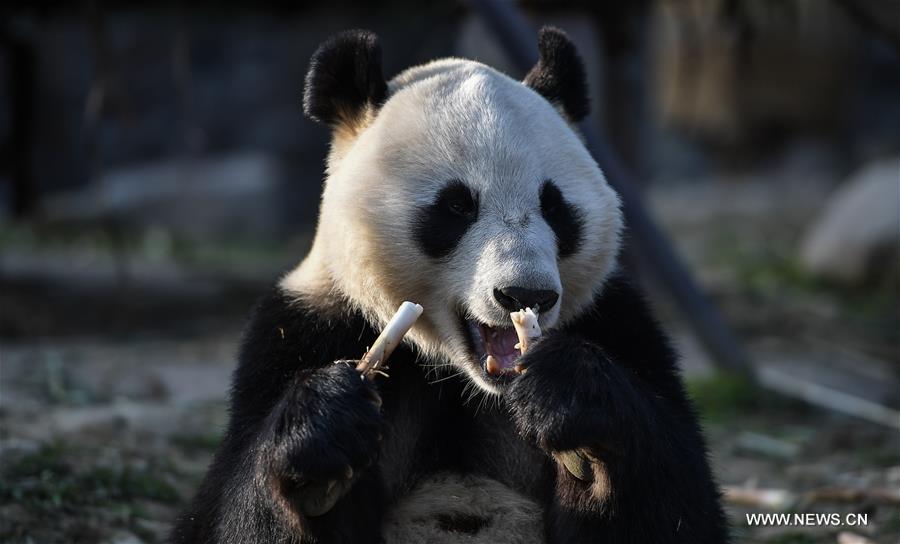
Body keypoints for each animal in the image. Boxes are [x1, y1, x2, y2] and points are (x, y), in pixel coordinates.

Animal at [172, 27, 729, 544]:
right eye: (457, 206)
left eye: (554, 206)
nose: (525, 296)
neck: (467, 384)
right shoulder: (303, 328)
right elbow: (224, 516)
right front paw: (323, 432)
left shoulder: (619, 322)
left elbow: (680, 501)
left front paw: (569, 401)